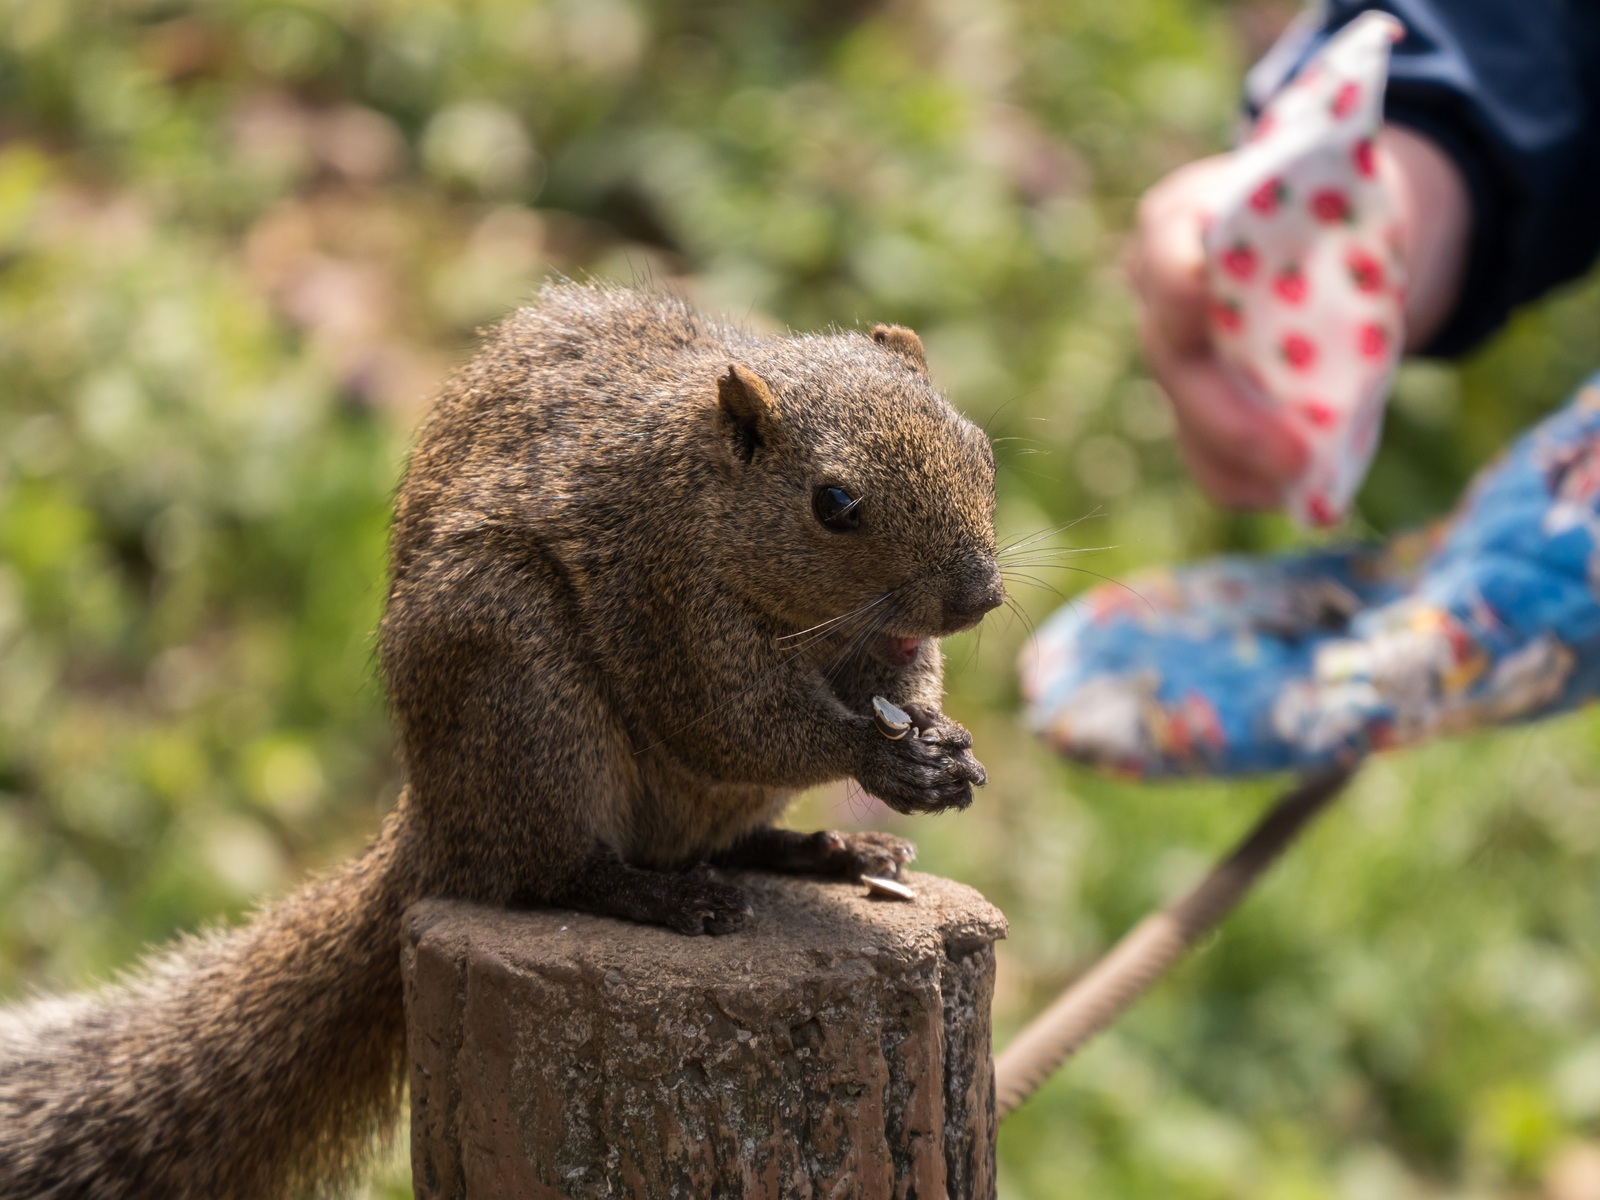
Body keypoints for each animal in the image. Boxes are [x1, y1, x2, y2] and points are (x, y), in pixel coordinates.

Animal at [0, 284, 998, 1200]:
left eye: (981, 448)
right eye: (835, 503)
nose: (979, 597)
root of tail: (437, 826)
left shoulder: (883, 648)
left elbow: (902, 688)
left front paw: (938, 753)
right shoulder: (668, 597)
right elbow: (729, 721)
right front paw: (883, 759)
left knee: (721, 837)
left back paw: (831, 849)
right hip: (518, 686)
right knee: (552, 870)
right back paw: (661, 897)